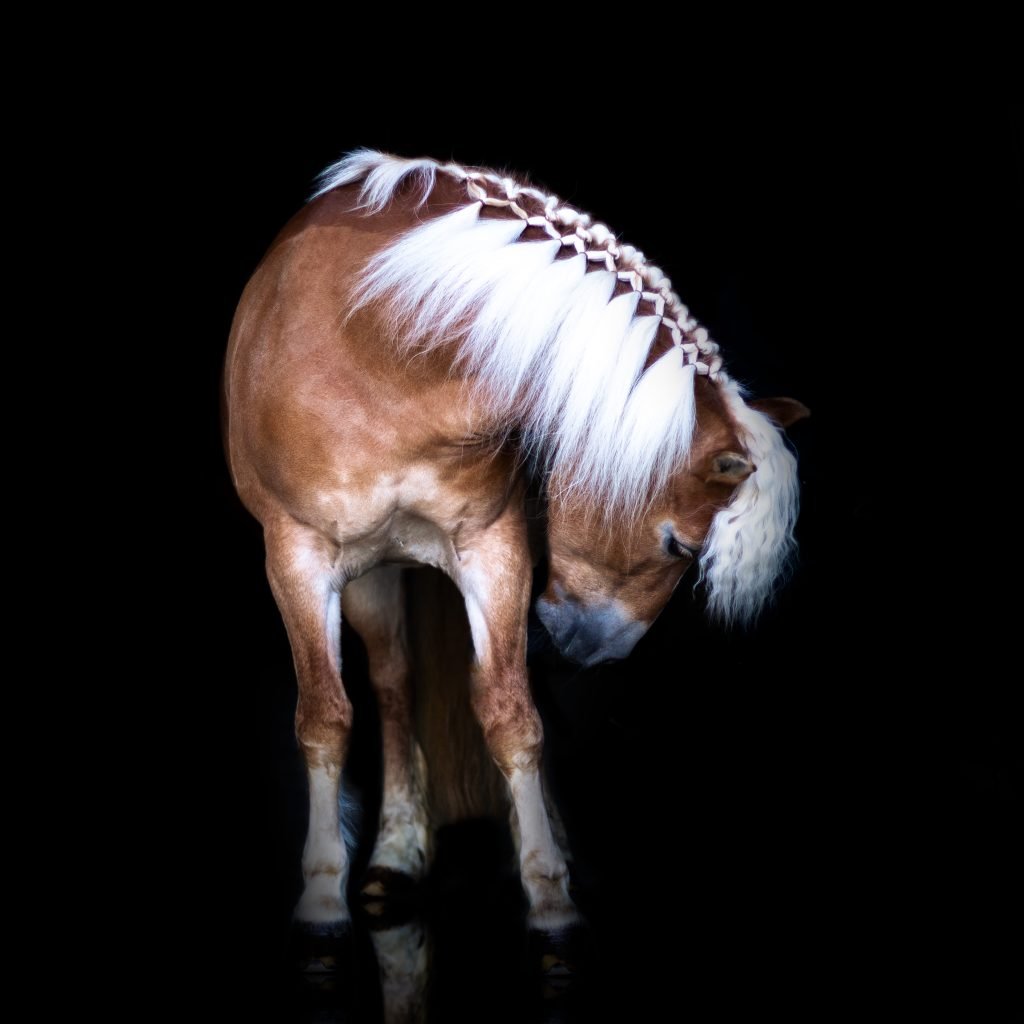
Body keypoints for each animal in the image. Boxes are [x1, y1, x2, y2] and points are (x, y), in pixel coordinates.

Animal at [224, 148, 806, 954]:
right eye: (678, 544)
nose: (597, 649)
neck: (379, 345)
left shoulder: (494, 549)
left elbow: (511, 714)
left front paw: (550, 892)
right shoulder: (299, 557)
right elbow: (325, 718)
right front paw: (319, 896)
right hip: (372, 575)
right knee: (393, 684)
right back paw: (393, 855)